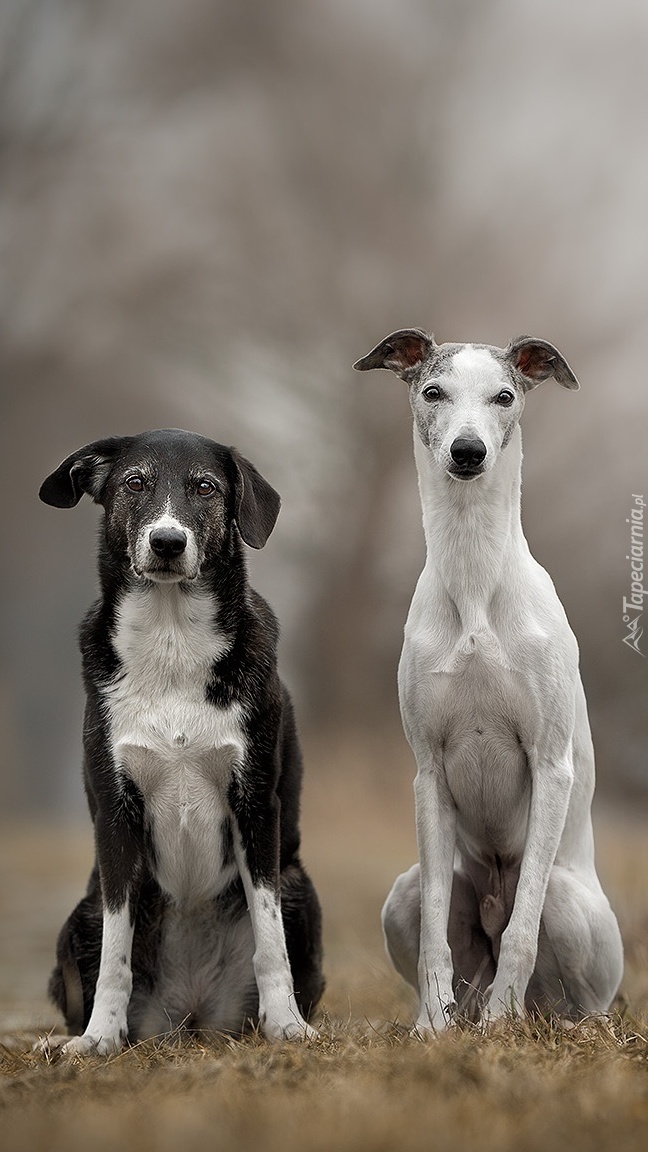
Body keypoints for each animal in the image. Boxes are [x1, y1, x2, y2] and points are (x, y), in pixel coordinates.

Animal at [39, 426, 320, 1055]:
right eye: (135, 482)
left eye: (206, 487)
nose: (167, 542)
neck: (171, 639)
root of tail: (190, 1017)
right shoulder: (116, 814)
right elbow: (114, 957)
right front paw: (99, 1038)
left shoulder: (255, 806)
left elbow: (271, 943)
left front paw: (286, 1025)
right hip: (81, 914)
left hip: (301, 889)